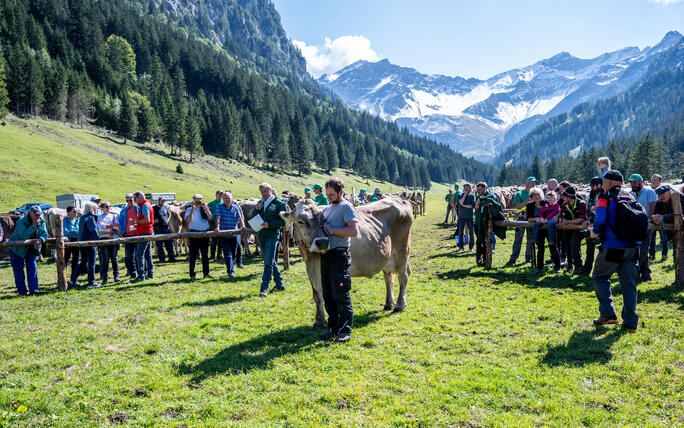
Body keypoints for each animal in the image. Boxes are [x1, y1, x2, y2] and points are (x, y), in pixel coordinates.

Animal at [282, 197, 414, 328]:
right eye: (300, 221)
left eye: (323, 220)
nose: (323, 242)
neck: (311, 257)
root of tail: (399, 199)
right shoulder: (310, 270)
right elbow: (317, 295)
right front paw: (319, 321)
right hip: (387, 257)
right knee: (388, 278)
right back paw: (388, 304)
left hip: (402, 251)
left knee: (403, 276)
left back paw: (399, 305)